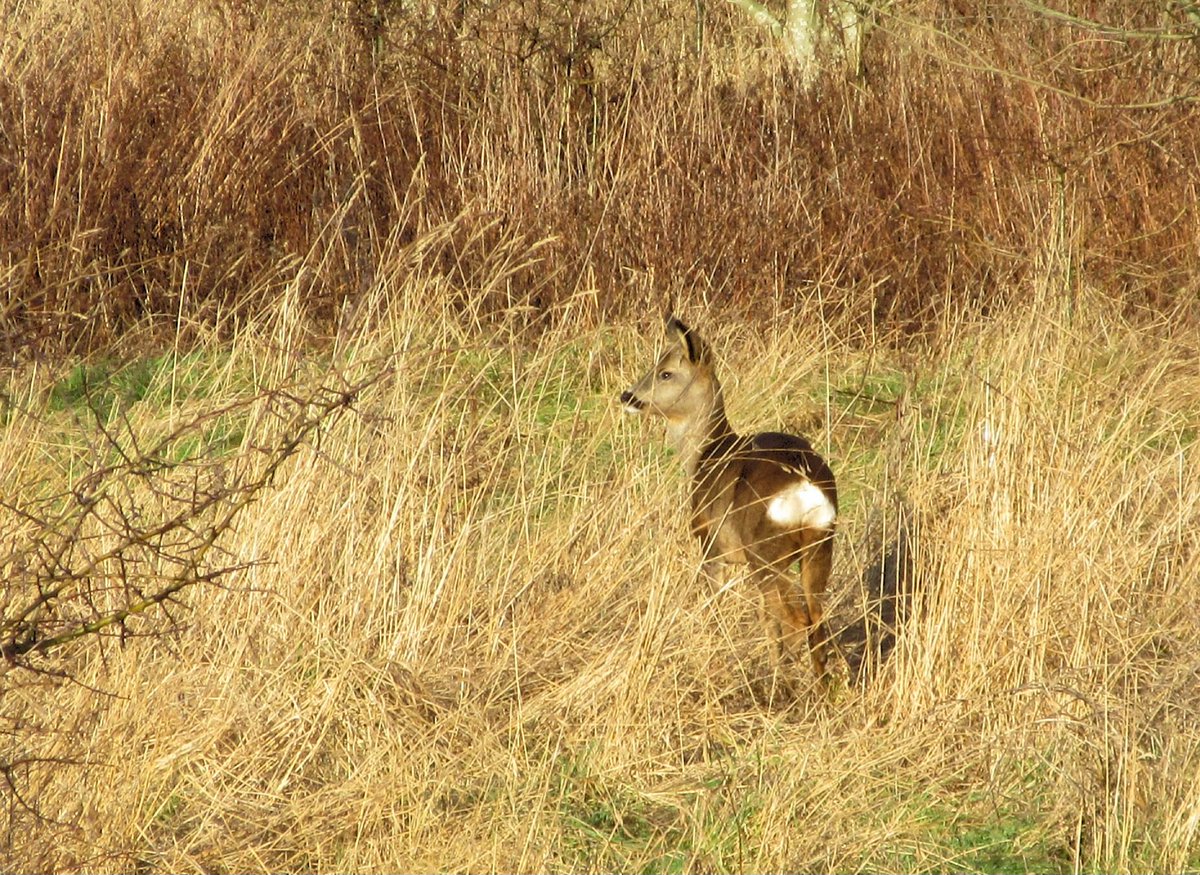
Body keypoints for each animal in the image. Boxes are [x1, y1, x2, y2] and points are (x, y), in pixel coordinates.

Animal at [620, 316, 837, 689]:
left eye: (665, 373)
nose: (628, 396)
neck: (705, 454)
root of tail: (805, 489)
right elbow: (765, 619)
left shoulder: (710, 543)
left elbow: (713, 605)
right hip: (819, 547)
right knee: (814, 619)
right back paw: (816, 685)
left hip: (765, 552)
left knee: (797, 620)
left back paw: (787, 683)